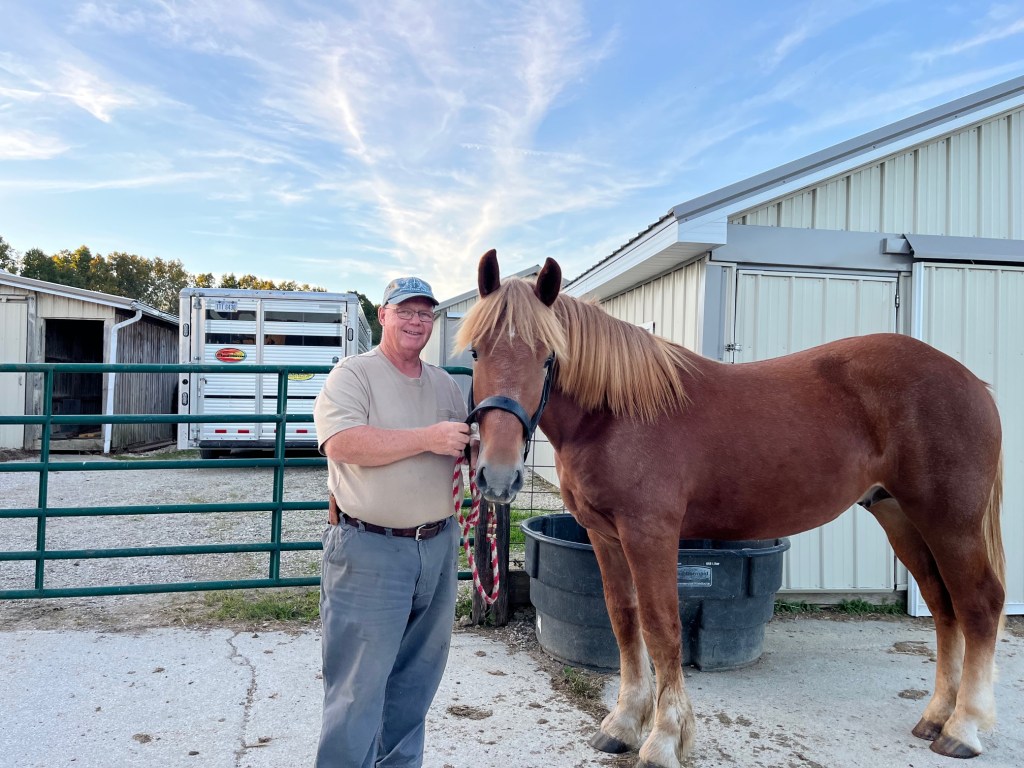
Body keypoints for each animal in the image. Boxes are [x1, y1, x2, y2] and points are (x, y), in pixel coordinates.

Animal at [457, 249, 1005, 768]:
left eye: (548, 356)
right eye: (478, 351)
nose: (497, 475)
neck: (618, 412)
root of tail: (972, 382)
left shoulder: (651, 534)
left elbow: (662, 628)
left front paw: (664, 740)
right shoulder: (603, 535)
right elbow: (623, 620)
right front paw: (623, 725)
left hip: (950, 522)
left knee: (979, 604)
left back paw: (963, 730)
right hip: (901, 518)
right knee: (943, 606)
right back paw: (936, 717)